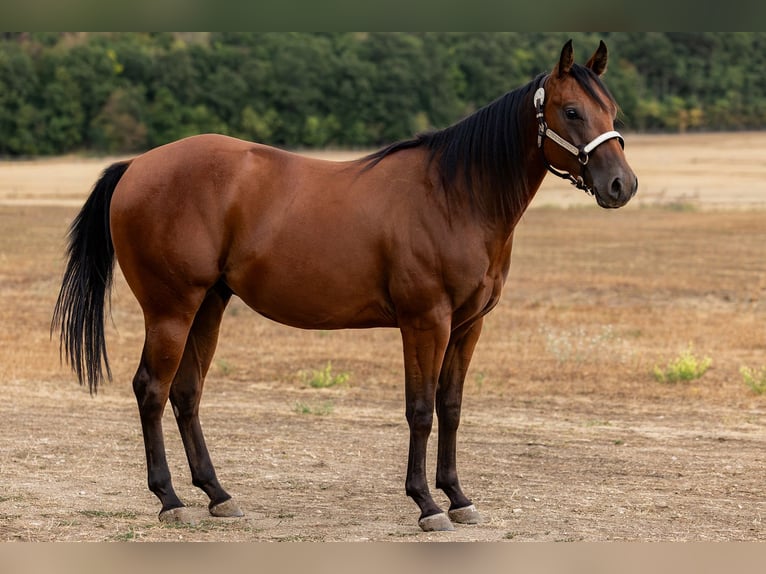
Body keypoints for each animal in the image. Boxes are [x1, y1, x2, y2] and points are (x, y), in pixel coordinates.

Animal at [53, 39, 637, 532]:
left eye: (612, 111)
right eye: (571, 111)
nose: (621, 185)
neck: (455, 196)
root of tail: (137, 167)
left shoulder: (468, 325)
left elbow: (450, 408)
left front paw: (458, 497)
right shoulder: (425, 323)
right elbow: (420, 410)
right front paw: (426, 504)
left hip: (208, 306)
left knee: (185, 392)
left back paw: (218, 495)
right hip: (171, 309)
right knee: (151, 389)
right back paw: (170, 500)